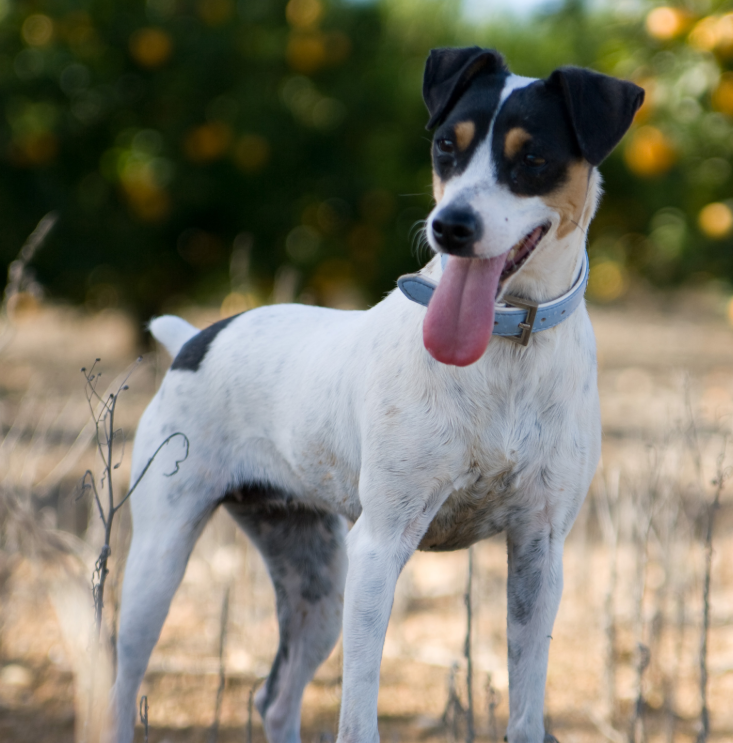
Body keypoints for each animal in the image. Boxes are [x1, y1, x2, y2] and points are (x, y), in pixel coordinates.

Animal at [108, 46, 640, 743]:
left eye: (533, 158)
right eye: (446, 146)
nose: (450, 227)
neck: (504, 348)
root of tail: (196, 338)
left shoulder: (539, 551)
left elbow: (526, 713)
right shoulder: (380, 547)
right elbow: (358, 719)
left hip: (314, 576)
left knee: (275, 697)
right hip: (162, 558)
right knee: (123, 684)